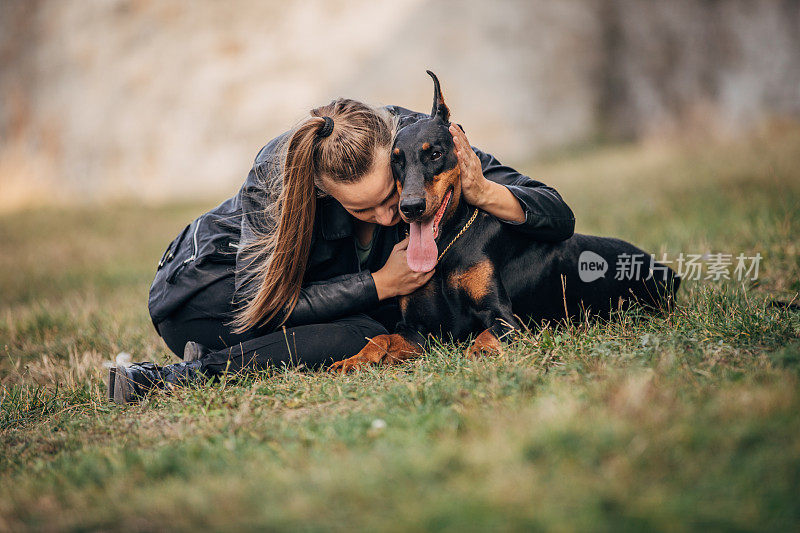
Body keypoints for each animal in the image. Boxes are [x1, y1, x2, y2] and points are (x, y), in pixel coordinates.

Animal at [328, 69, 680, 370]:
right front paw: (354, 360)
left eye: (435, 153)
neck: (447, 245)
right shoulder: (415, 328)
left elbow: (487, 334)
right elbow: (382, 336)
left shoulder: (504, 318)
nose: (411, 207)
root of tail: (668, 271)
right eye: (396, 161)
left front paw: (479, 353)